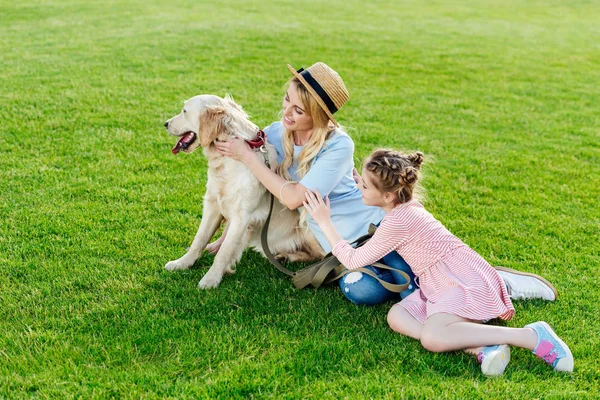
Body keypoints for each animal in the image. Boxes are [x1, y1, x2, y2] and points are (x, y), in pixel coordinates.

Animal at [163, 94, 324, 288]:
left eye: (184, 111)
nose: (165, 123)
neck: (225, 161)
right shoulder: (213, 204)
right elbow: (199, 239)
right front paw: (182, 263)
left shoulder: (242, 215)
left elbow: (224, 252)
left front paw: (211, 278)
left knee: (320, 256)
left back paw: (288, 257)